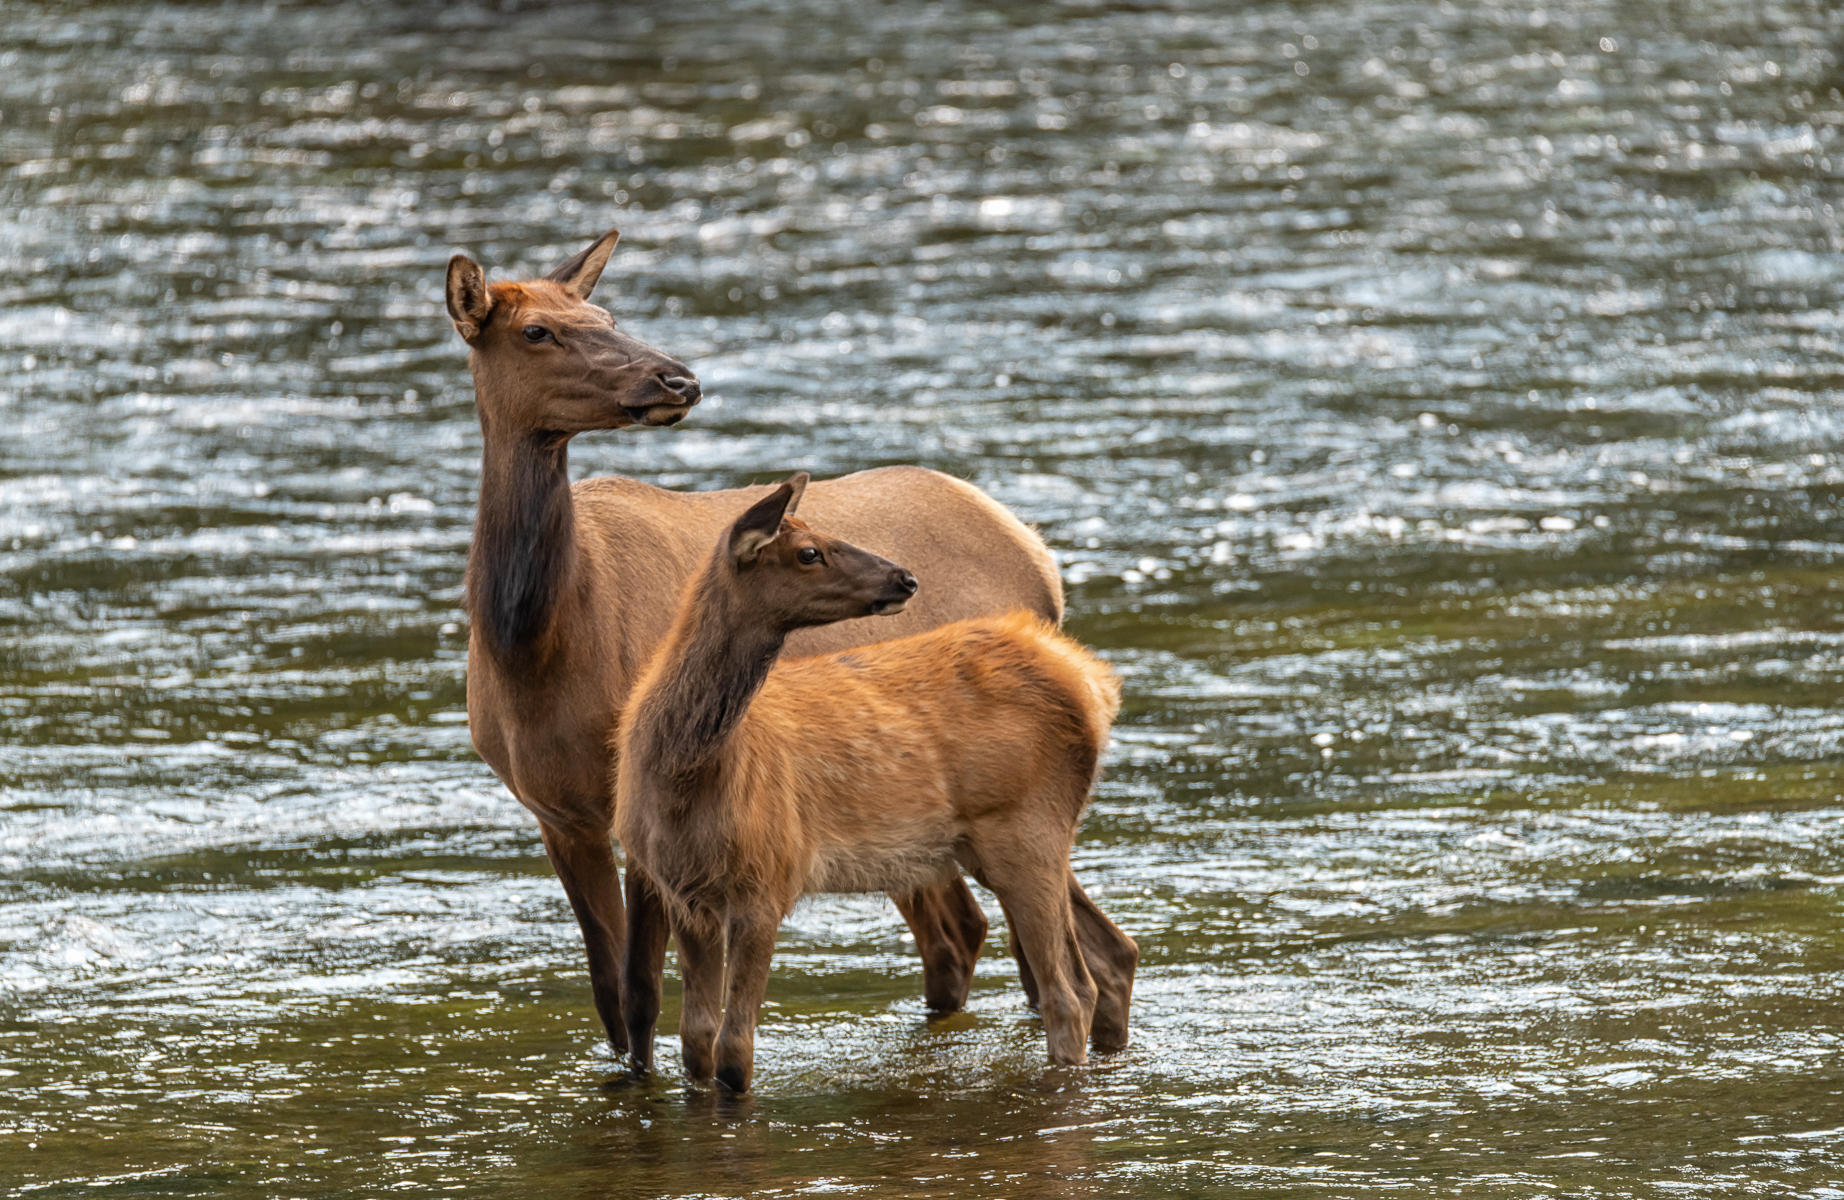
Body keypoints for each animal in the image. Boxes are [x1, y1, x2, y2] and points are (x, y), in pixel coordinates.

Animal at [615, 475, 1135, 1091]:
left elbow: (734, 1054)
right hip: (1002, 842)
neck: (680, 776)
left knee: (1068, 992)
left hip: (1026, 829)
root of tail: (1093, 684)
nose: (905, 577)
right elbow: (696, 1044)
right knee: (1105, 961)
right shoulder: (683, 892)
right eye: (809, 551)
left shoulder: (767, 879)